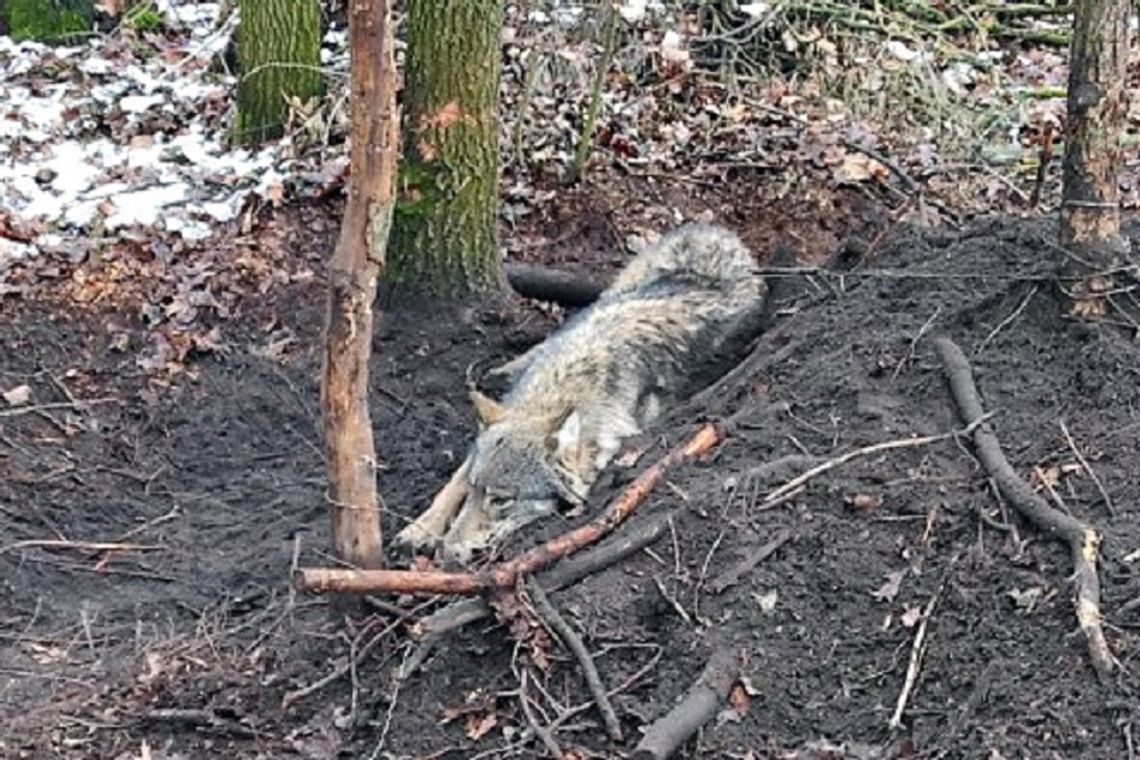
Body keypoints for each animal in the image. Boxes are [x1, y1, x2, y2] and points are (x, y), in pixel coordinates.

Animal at [399, 223, 766, 562]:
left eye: (501, 500)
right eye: (475, 493)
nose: (445, 554)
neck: (558, 390)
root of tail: (718, 231)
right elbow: (454, 482)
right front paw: (421, 528)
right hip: (619, 288)